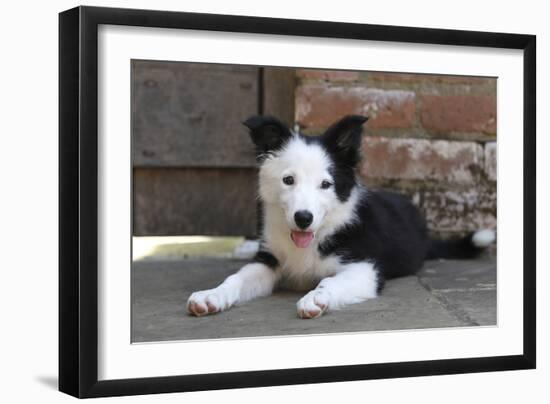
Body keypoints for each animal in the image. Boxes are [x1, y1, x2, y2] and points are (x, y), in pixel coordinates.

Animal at [188, 114, 498, 318]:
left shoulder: (365, 268)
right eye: (288, 180)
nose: (303, 218)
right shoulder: (269, 260)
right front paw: (211, 295)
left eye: (326, 184)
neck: (316, 236)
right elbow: (236, 278)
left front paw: (316, 298)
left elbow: (330, 281)